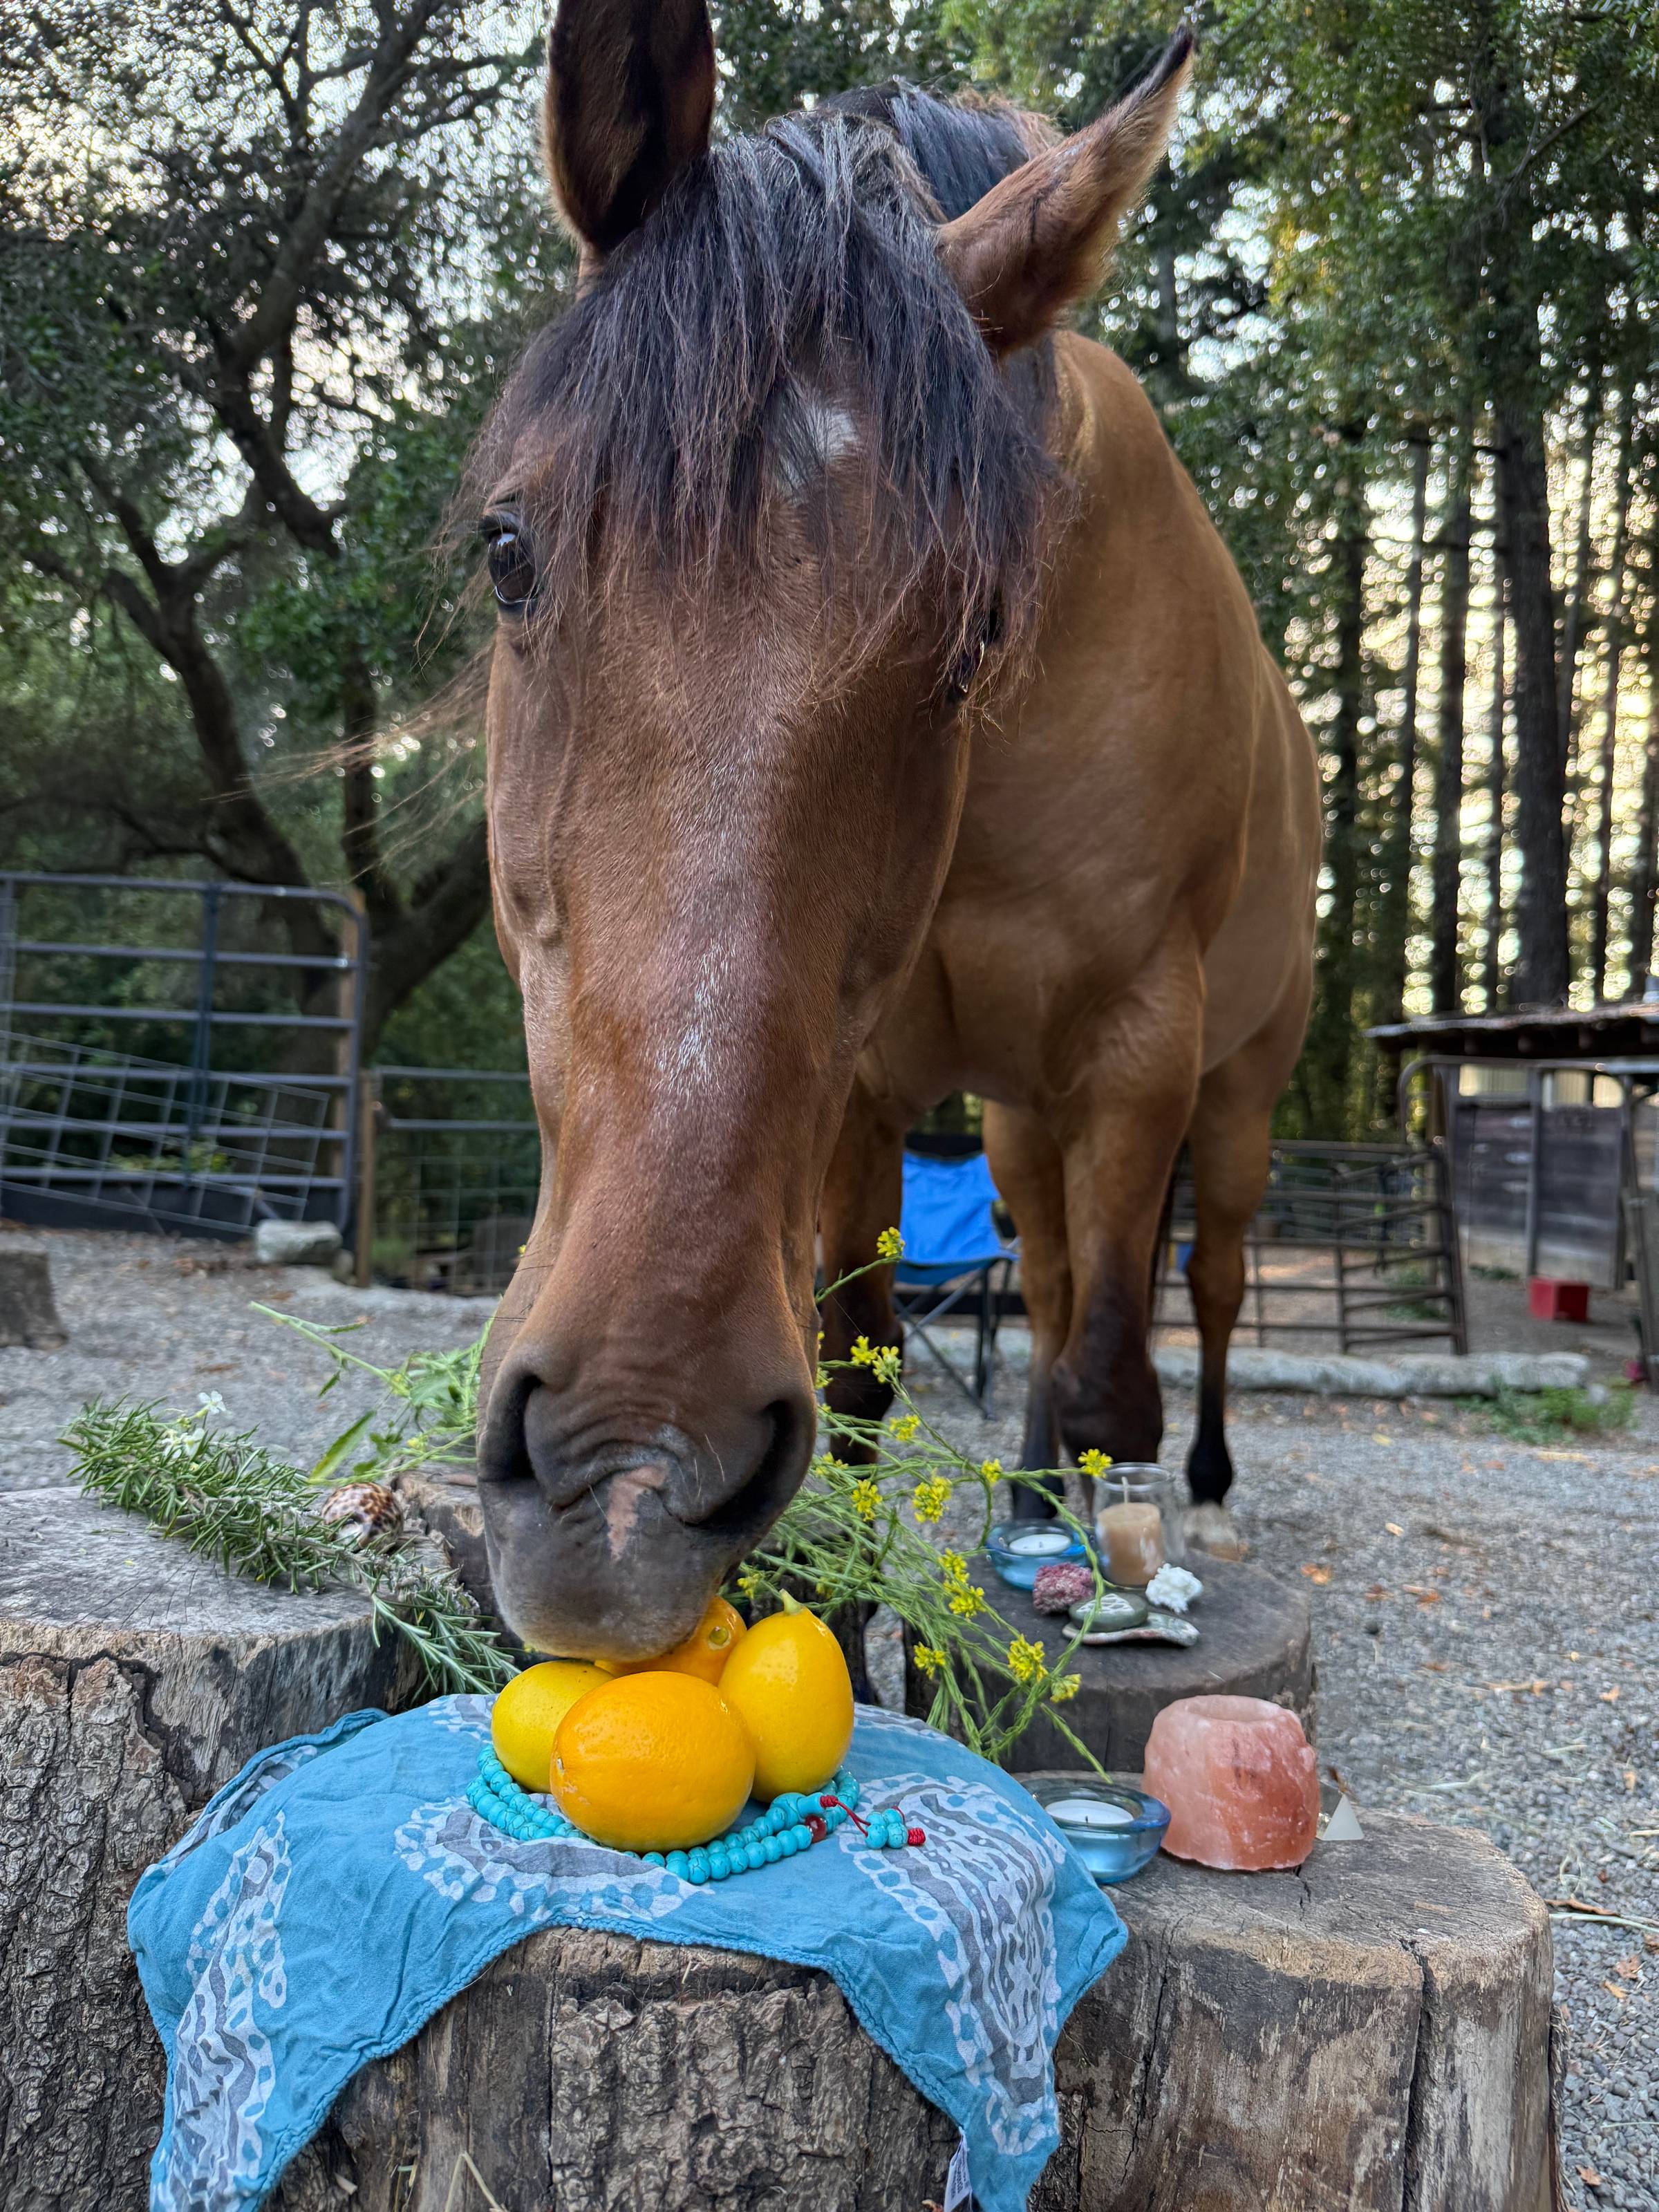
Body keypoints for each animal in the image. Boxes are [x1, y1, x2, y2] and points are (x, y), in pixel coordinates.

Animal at [472, 0, 1321, 1663]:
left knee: (1203, 1290)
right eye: (509, 552)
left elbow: (1115, 1368)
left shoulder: (1140, 1049)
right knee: (1046, 1284)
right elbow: (865, 1380)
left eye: (976, 634)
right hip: (1016, 1122)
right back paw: (1039, 1514)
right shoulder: (864, 1095)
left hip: (1235, 1093)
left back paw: (1192, 1501)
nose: (625, 1475)